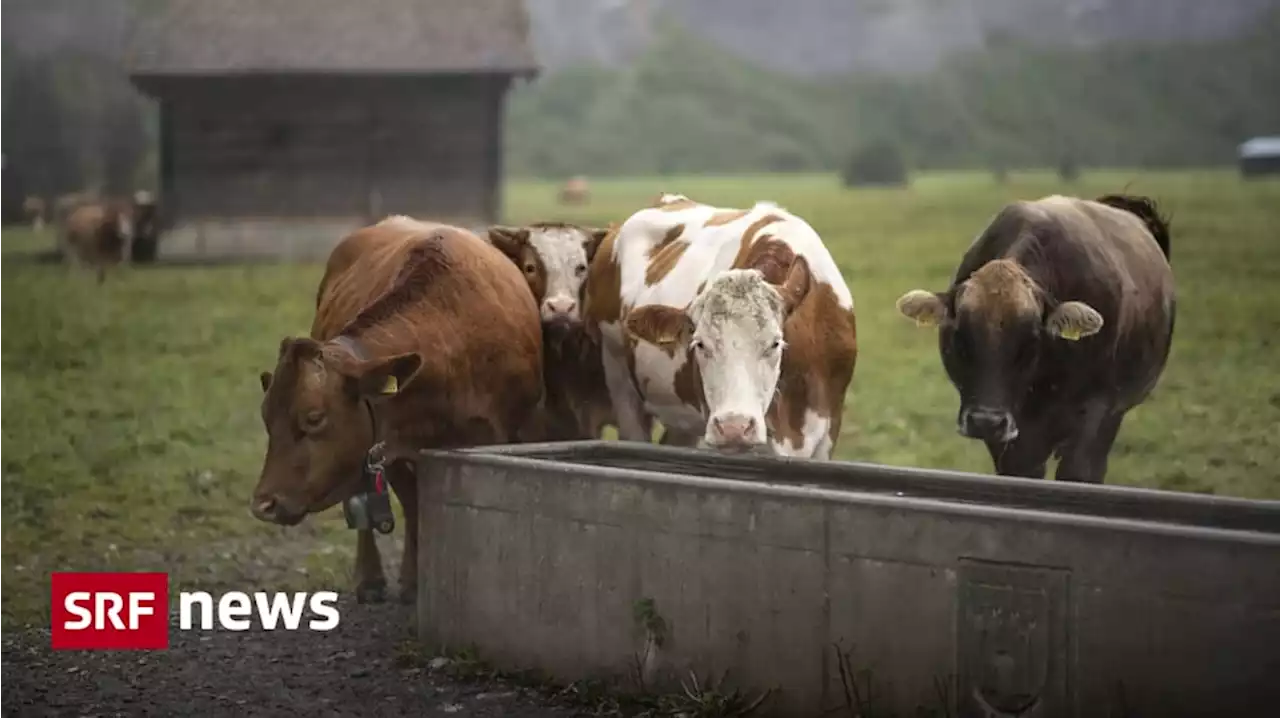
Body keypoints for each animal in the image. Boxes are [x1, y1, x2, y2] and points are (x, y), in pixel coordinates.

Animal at [252, 213, 542, 604]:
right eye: (267, 418)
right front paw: (413, 580)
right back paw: (370, 579)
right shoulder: (388, 444)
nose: (264, 505)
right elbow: (412, 504)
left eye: (314, 418)